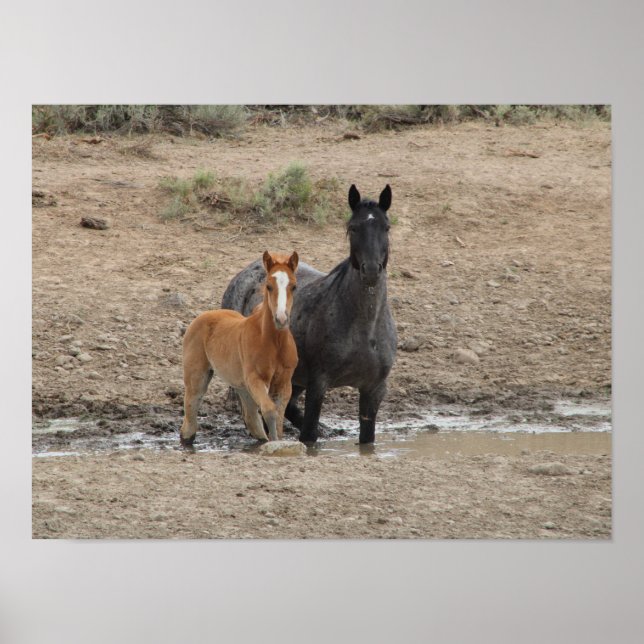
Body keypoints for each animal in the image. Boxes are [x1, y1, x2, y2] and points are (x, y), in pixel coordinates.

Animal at [179, 251, 299, 446]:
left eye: (294, 286)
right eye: (268, 286)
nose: (281, 319)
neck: (274, 343)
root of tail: (205, 315)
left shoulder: (284, 382)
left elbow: (279, 417)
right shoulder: (256, 378)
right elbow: (270, 410)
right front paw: (275, 444)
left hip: (242, 386)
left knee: (251, 418)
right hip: (197, 376)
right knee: (190, 415)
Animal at [221, 185, 397, 444]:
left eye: (386, 227)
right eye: (353, 228)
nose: (372, 270)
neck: (364, 329)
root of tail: (242, 275)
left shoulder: (373, 390)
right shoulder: (318, 385)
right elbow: (309, 436)